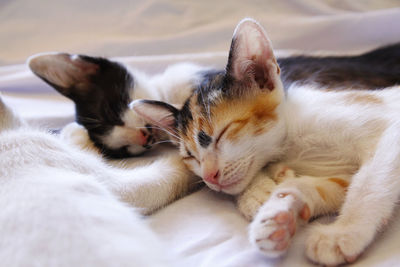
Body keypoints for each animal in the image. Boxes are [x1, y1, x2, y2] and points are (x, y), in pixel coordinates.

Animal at [133, 18, 400, 266]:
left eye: (222, 132)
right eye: (190, 156)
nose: (210, 176)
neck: (292, 145)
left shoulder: (391, 125)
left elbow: (368, 184)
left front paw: (342, 234)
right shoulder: (339, 172)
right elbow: (330, 186)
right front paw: (277, 217)